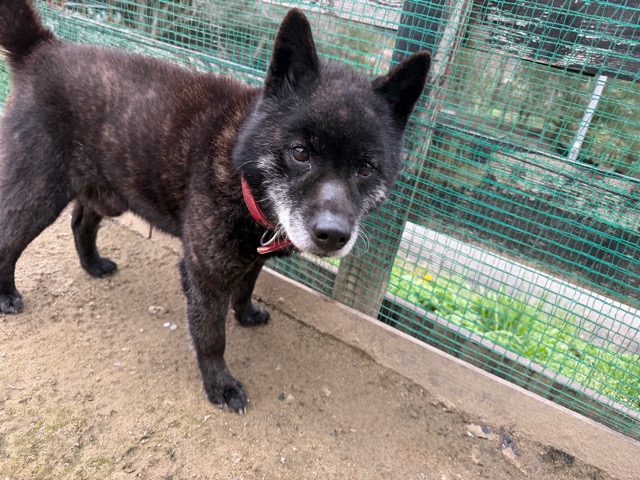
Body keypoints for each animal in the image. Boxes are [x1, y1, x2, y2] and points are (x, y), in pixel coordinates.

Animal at [0, 0, 430, 413]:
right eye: (300, 152)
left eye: (365, 168)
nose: (333, 235)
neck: (240, 166)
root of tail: (43, 47)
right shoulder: (204, 277)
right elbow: (211, 338)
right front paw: (220, 385)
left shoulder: (253, 258)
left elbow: (247, 288)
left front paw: (246, 314)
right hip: (38, 192)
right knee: (9, 238)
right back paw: (6, 295)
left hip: (107, 193)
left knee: (81, 220)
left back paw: (92, 264)